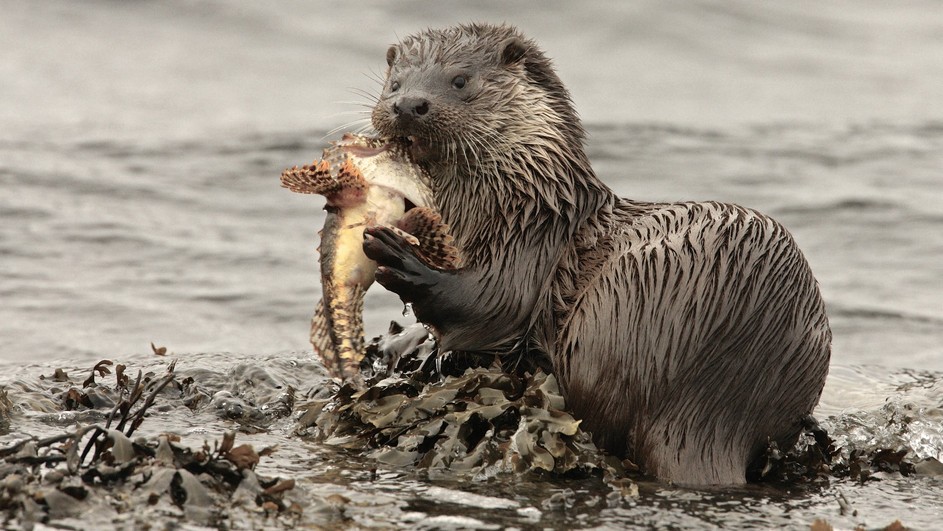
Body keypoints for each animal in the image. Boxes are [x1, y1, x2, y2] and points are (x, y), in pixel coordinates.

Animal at [362, 23, 832, 486]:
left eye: (460, 80)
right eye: (394, 84)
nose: (408, 105)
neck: (522, 199)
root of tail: (710, 413)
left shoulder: (529, 248)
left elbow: (487, 305)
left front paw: (397, 254)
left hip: (619, 305)